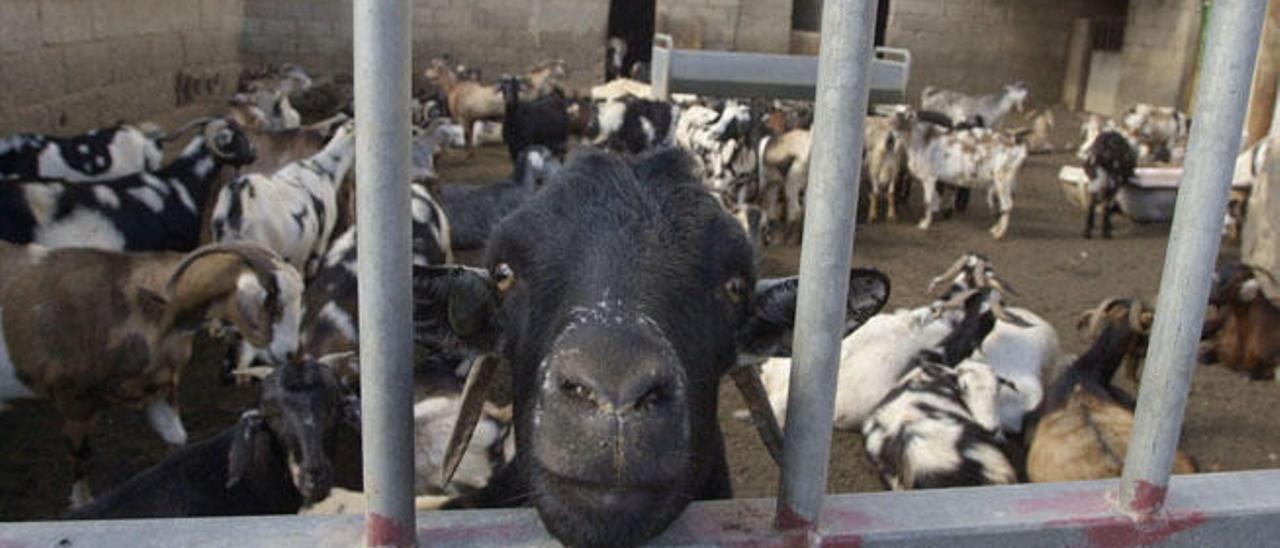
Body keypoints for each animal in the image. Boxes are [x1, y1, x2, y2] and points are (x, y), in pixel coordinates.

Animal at [0, 241, 302, 507]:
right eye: (270, 302)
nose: (290, 354)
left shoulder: (159, 389)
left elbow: (177, 441)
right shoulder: (74, 399)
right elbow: (80, 455)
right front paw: (81, 502)